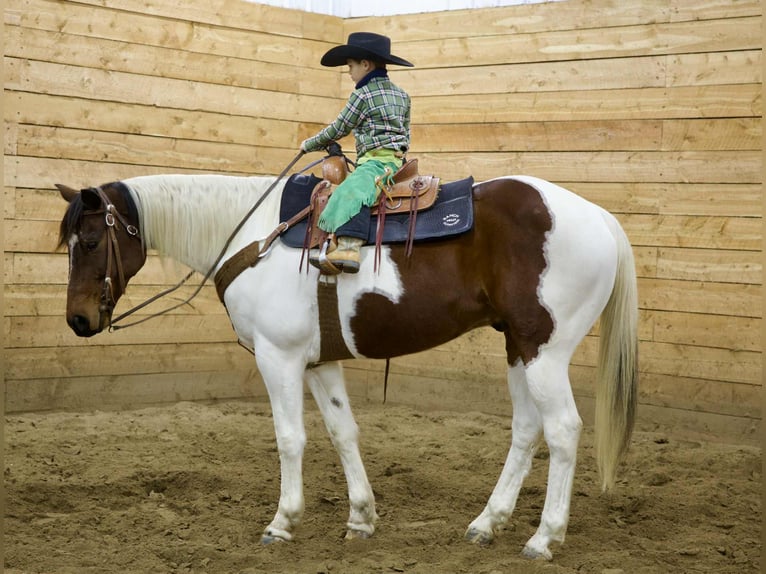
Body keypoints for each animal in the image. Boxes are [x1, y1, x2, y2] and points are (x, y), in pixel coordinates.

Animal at [55, 168, 638, 561]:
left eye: (91, 240)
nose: (78, 320)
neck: (254, 237)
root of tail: (601, 218)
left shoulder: (278, 357)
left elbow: (291, 439)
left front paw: (283, 522)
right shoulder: (317, 362)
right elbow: (343, 433)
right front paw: (361, 518)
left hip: (545, 350)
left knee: (563, 431)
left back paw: (544, 537)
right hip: (518, 347)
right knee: (525, 430)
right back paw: (487, 523)